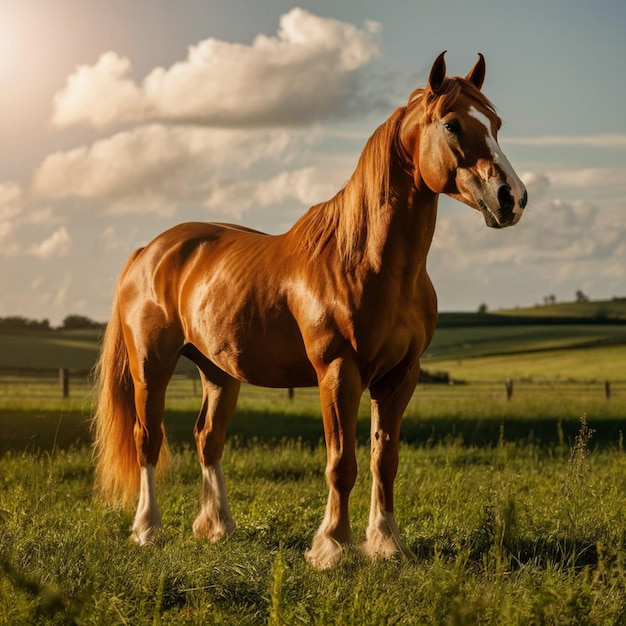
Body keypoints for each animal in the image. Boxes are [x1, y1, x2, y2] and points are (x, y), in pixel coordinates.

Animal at [92, 51, 528, 568]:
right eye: (452, 124)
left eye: (496, 123)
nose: (512, 198)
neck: (364, 260)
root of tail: (150, 250)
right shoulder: (338, 372)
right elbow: (342, 463)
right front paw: (332, 546)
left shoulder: (400, 377)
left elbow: (385, 460)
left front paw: (386, 544)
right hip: (150, 367)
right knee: (148, 439)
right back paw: (147, 530)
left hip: (218, 372)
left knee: (207, 439)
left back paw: (217, 528)